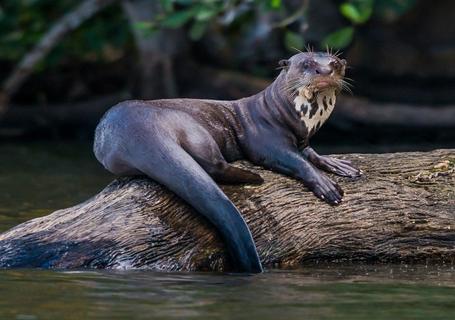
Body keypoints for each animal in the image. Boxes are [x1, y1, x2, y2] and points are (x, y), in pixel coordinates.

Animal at [94, 51, 362, 274]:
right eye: (306, 63)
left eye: (335, 63)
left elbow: (310, 153)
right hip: (194, 128)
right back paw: (254, 177)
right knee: (213, 165)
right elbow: (295, 160)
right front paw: (326, 186)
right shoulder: (265, 140)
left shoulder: (303, 139)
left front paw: (339, 165)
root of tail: (138, 129)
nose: (325, 71)